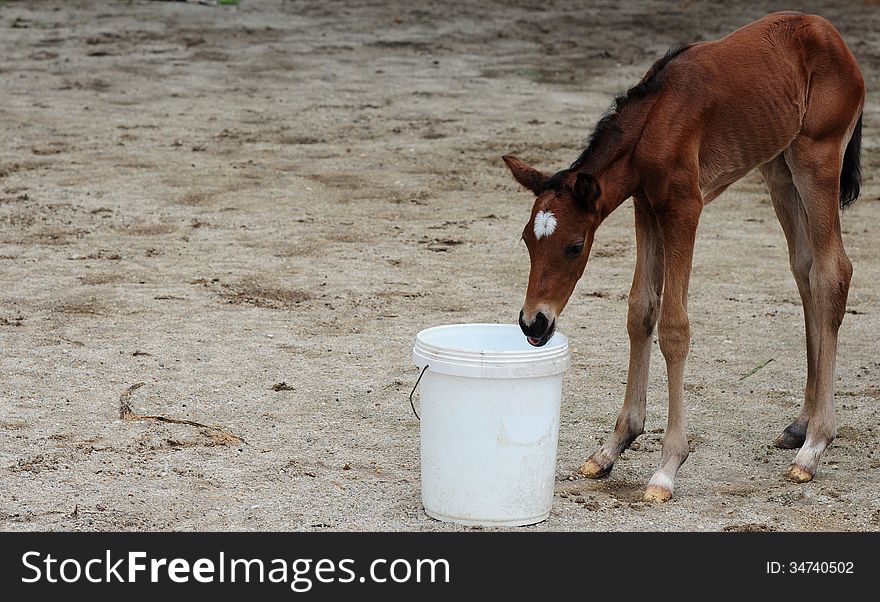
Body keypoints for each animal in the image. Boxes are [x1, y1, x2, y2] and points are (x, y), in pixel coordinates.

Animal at [506, 12, 864, 502]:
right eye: (526, 240)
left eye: (575, 246)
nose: (533, 324)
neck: (656, 119)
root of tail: (831, 34)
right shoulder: (645, 207)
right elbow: (640, 311)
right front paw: (613, 447)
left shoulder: (683, 208)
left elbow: (674, 327)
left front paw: (667, 467)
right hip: (779, 170)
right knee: (805, 271)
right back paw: (799, 425)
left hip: (817, 159)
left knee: (833, 273)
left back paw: (813, 446)